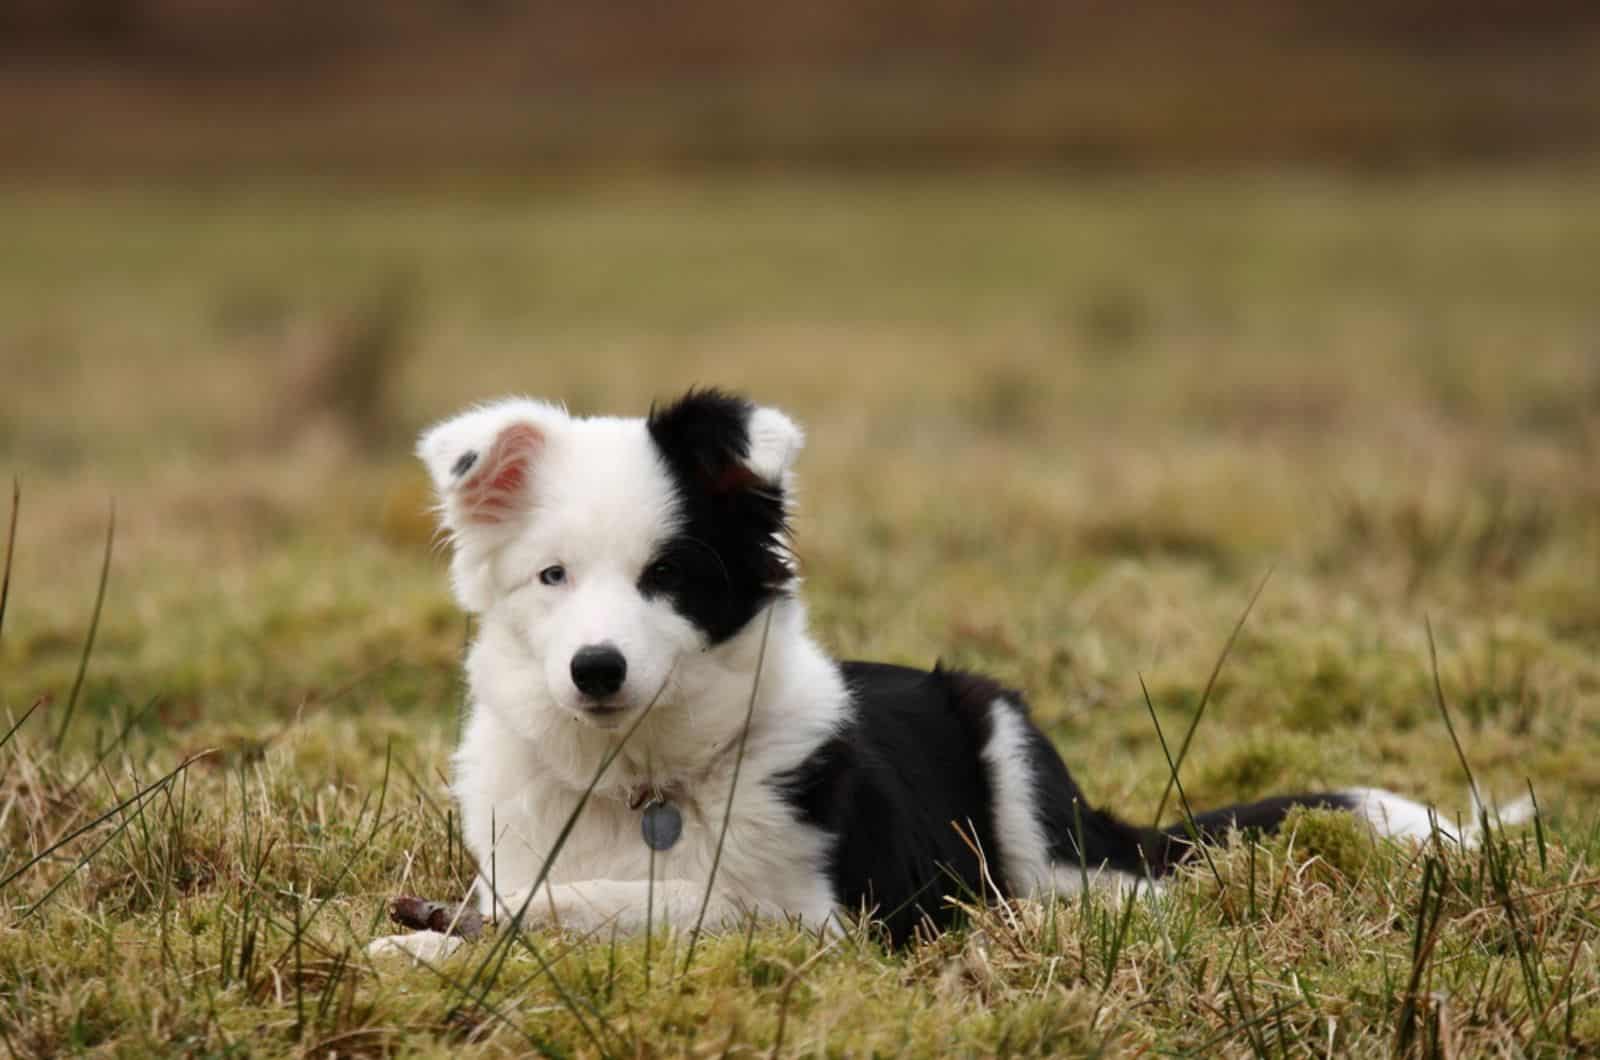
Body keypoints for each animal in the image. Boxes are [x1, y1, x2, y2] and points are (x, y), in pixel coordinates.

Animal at [374, 392, 1484, 960]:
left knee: (1117, 890)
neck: (639, 778)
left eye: (669, 574)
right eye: (551, 576)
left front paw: (496, 924)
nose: (596, 670)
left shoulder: (816, 916)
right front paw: (433, 940)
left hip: (1009, 751)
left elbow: (642, 902)